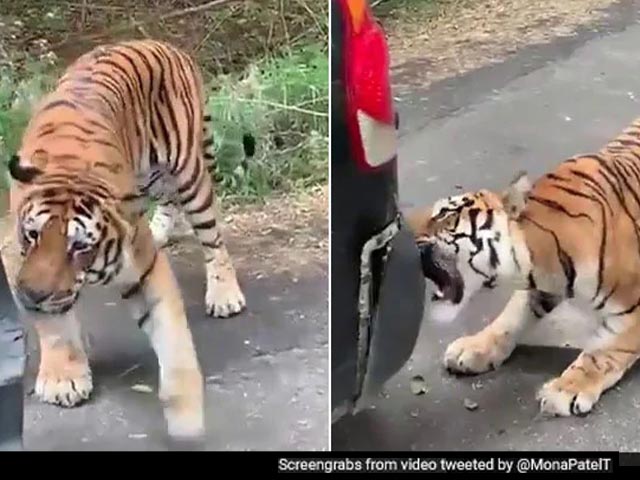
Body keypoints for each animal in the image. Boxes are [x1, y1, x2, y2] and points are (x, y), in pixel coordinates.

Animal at [1, 39, 248, 440]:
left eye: (79, 247)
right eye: (33, 235)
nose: (35, 295)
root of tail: (167, 45)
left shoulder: (143, 267)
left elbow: (173, 338)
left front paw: (186, 416)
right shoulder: (18, 263)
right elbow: (54, 327)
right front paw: (64, 379)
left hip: (189, 174)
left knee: (212, 237)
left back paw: (225, 295)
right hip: (152, 179)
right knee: (167, 202)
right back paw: (162, 229)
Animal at [406, 116, 640, 418]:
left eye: (444, 214)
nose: (400, 226)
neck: (540, 258)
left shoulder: (633, 311)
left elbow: (599, 354)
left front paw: (565, 389)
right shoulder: (540, 287)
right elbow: (508, 320)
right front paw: (473, 349)